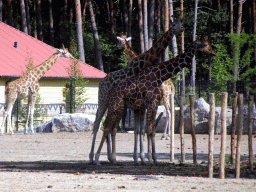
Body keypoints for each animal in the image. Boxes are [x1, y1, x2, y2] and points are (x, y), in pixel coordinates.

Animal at [89, 17, 183, 164]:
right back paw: (92, 157)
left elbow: (140, 129)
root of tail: (101, 82)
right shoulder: (137, 104)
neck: (140, 63)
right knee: (98, 123)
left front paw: (141, 157)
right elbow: (139, 129)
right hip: (104, 101)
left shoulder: (139, 105)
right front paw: (141, 157)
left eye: (180, 23)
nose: (182, 29)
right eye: (174, 24)